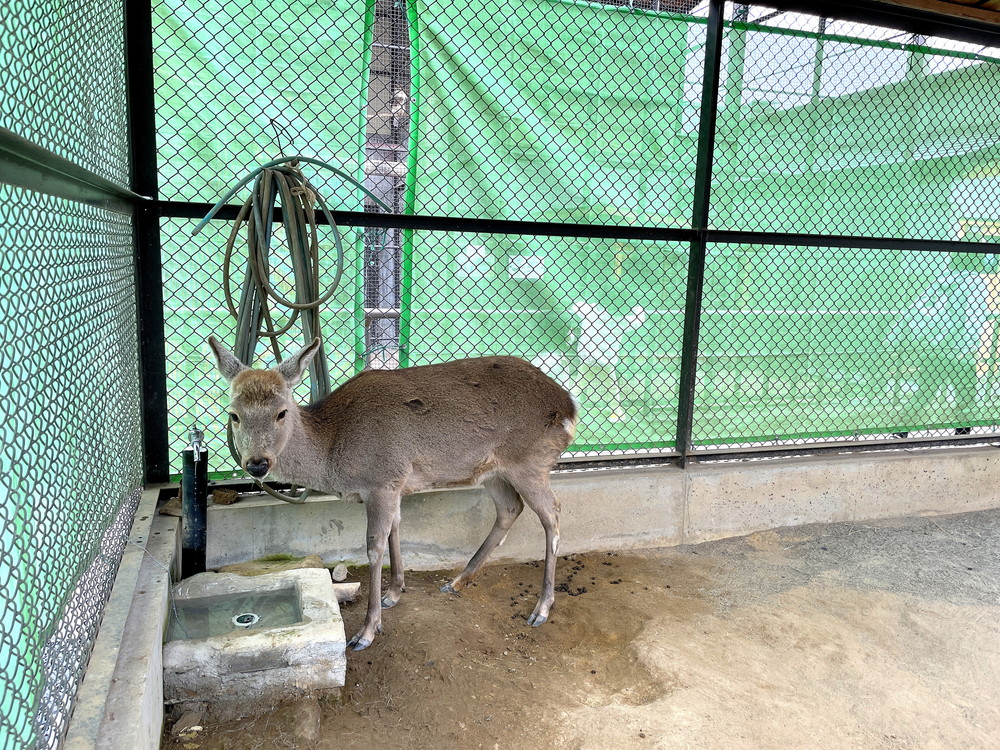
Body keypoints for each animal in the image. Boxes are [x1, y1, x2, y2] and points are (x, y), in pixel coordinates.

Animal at [208, 337, 579, 650]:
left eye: (281, 413)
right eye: (233, 414)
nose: (257, 463)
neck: (335, 452)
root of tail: (569, 407)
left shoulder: (382, 480)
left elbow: (374, 547)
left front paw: (366, 631)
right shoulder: (395, 484)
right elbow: (396, 528)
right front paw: (395, 592)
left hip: (529, 461)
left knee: (553, 512)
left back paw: (541, 608)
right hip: (493, 470)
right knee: (510, 508)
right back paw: (457, 580)